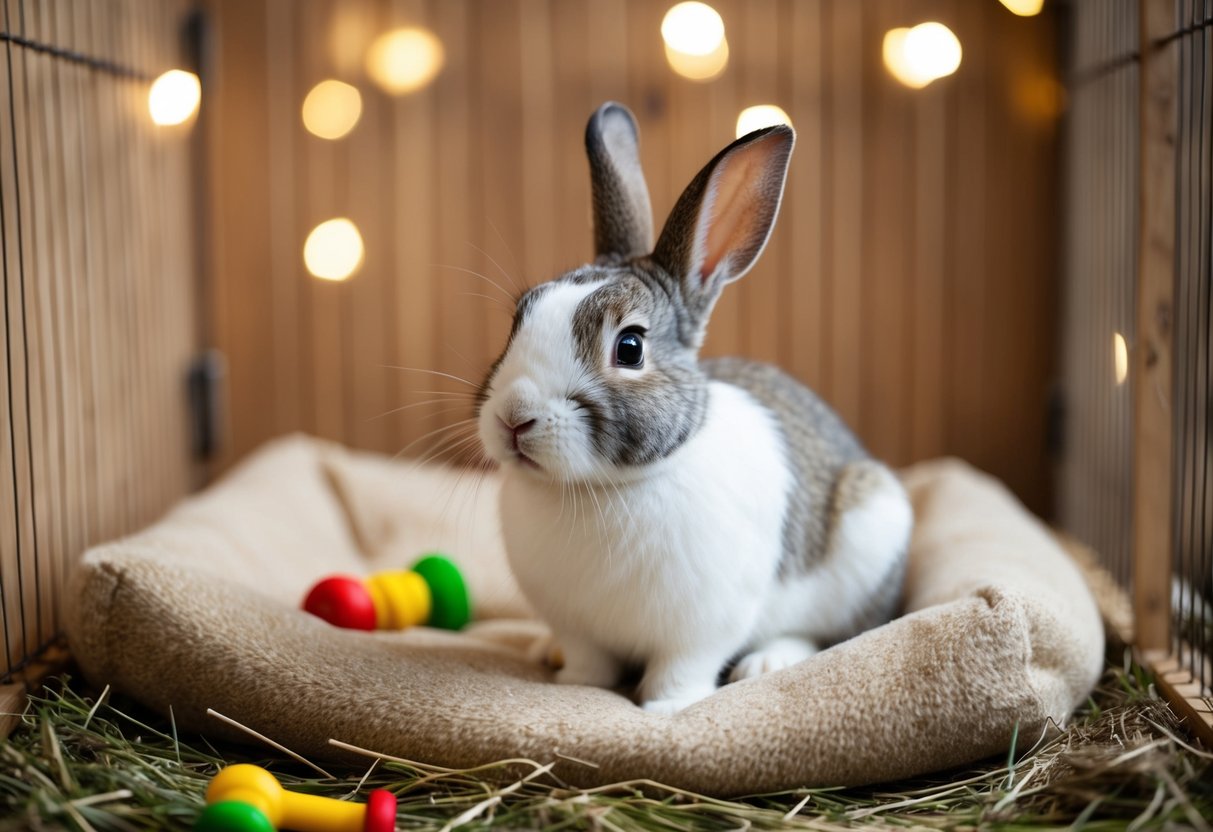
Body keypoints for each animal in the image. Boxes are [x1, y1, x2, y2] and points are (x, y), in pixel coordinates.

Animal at [476, 102, 913, 714]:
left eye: (629, 347)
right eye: (520, 317)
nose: (513, 418)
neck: (600, 488)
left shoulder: (701, 628)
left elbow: (680, 670)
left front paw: (664, 709)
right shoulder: (580, 628)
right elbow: (589, 665)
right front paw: (572, 685)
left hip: (871, 539)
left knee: (829, 633)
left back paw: (767, 661)